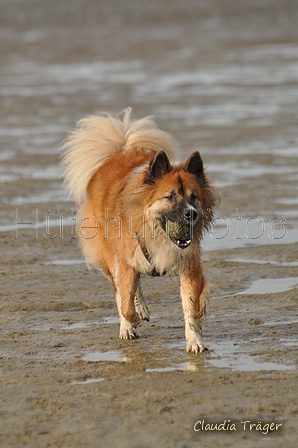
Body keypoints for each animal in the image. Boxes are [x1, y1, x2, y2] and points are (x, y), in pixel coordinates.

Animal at [61, 108, 219, 354]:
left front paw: (195, 342)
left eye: (194, 197)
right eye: (170, 196)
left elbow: (191, 309)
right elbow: (125, 302)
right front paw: (130, 322)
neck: (157, 235)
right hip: (110, 255)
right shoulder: (126, 261)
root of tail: (118, 152)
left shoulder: (189, 267)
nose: (192, 214)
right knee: (120, 290)